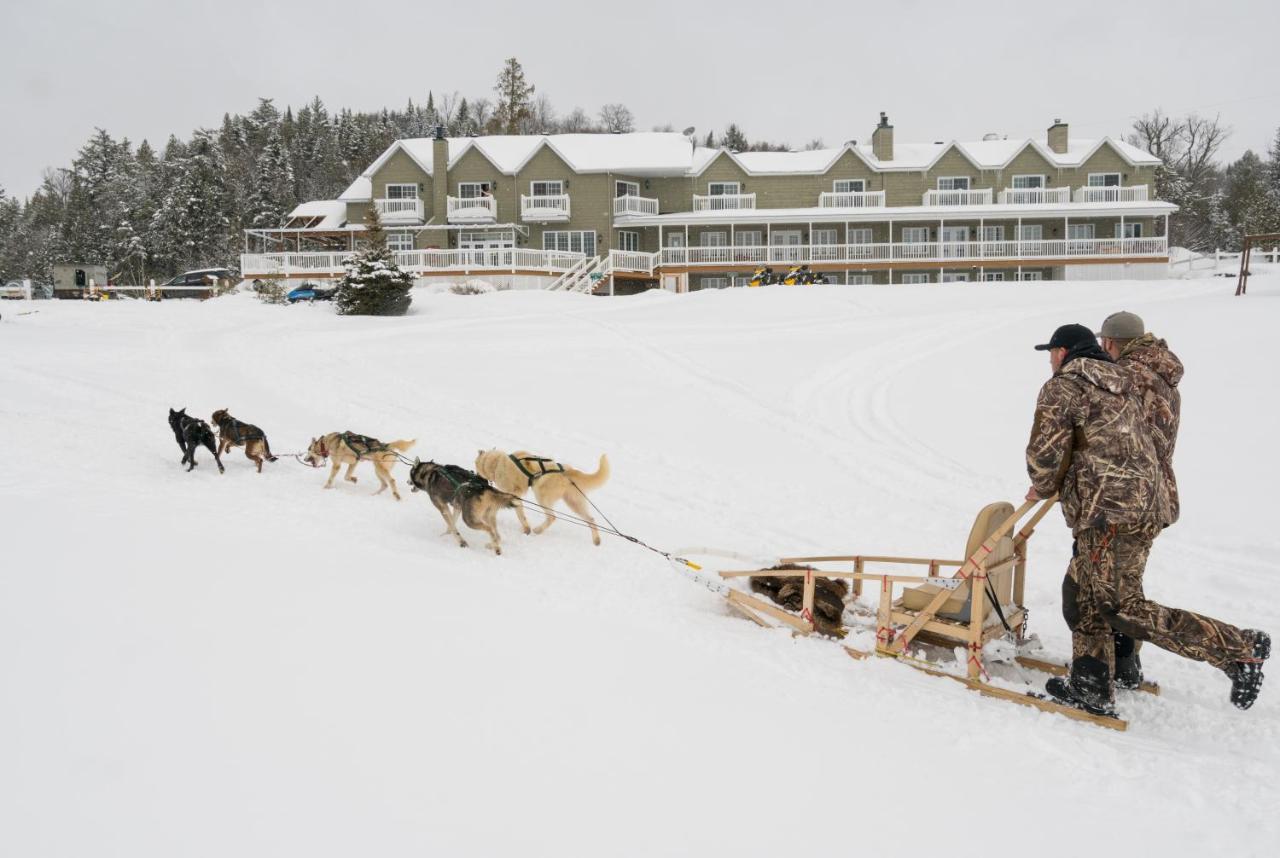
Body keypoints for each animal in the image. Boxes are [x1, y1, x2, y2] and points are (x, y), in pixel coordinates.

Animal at [476, 450, 609, 545]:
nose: (476, 477)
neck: (497, 463)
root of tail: (568, 471)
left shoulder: (514, 493)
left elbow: (519, 513)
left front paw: (527, 529)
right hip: (574, 503)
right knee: (591, 519)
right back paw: (596, 540)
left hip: (541, 496)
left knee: (552, 517)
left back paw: (538, 530)